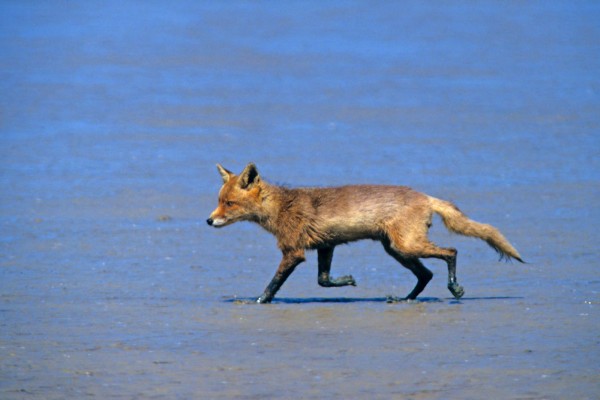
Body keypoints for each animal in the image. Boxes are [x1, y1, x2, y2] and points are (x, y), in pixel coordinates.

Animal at [205, 162, 520, 304]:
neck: (281, 208)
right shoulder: (325, 246)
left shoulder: (293, 252)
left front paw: (258, 301)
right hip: (396, 249)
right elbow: (323, 281)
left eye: (229, 204)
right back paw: (406, 299)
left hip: (406, 246)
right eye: (219, 201)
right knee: (426, 274)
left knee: (451, 252)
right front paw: (347, 281)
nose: (208, 221)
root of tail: (425, 196)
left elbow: (273, 284)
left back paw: (454, 287)